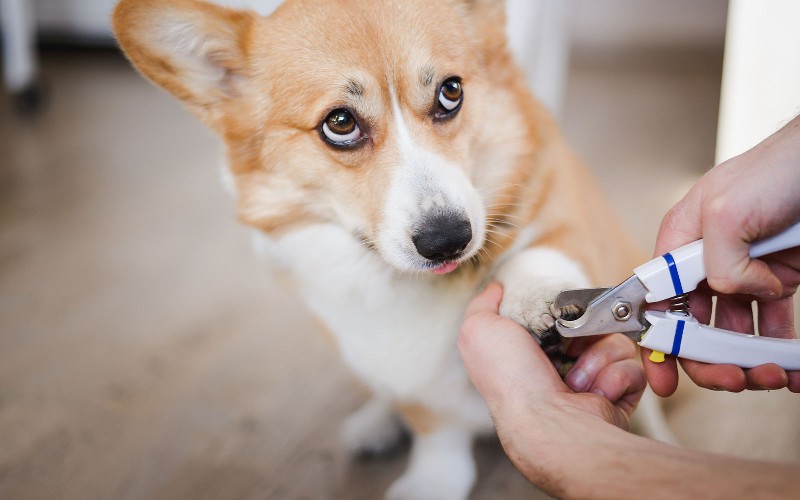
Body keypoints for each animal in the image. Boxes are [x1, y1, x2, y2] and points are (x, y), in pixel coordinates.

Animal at [114, 0, 644, 498]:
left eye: (451, 92)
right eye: (340, 123)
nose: (448, 239)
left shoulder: (570, 214)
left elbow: (541, 252)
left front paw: (536, 297)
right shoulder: (392, 364)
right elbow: (434, 428)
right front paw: (432, 481)